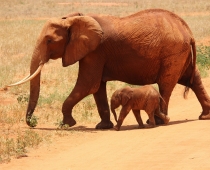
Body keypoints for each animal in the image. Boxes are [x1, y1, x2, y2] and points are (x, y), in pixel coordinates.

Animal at [6, 8, 210, 129]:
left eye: (49, 41)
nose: (33, 123)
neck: (74, 19)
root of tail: (188, 31)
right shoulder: (94, 54)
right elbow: (97, 88)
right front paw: (103, 127)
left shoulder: (95, 51)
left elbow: (87, 85)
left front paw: (67, 124)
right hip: (181, 54)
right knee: (193, 80)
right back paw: (204, 117)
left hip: (173, 53)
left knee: (166, 86)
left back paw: (158, 122)